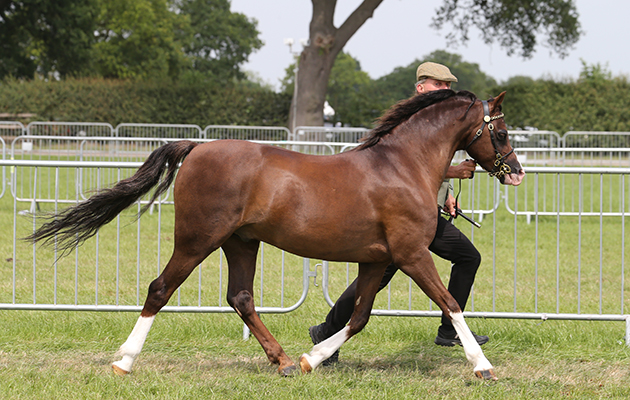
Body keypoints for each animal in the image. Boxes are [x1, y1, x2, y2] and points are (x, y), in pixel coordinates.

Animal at [28, 90, 524, 382]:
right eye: (500, 131)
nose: (516, 173)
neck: (402, 166)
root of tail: (198, 147)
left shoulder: (377, 260)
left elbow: (358, 317)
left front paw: (312, 358)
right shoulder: (411, 254)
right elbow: (450, 302)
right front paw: (483, 366)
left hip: (241, 243)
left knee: (241, 297)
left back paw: (283, 361)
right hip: (197, 240)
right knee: (160, 289)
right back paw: (123, 361)